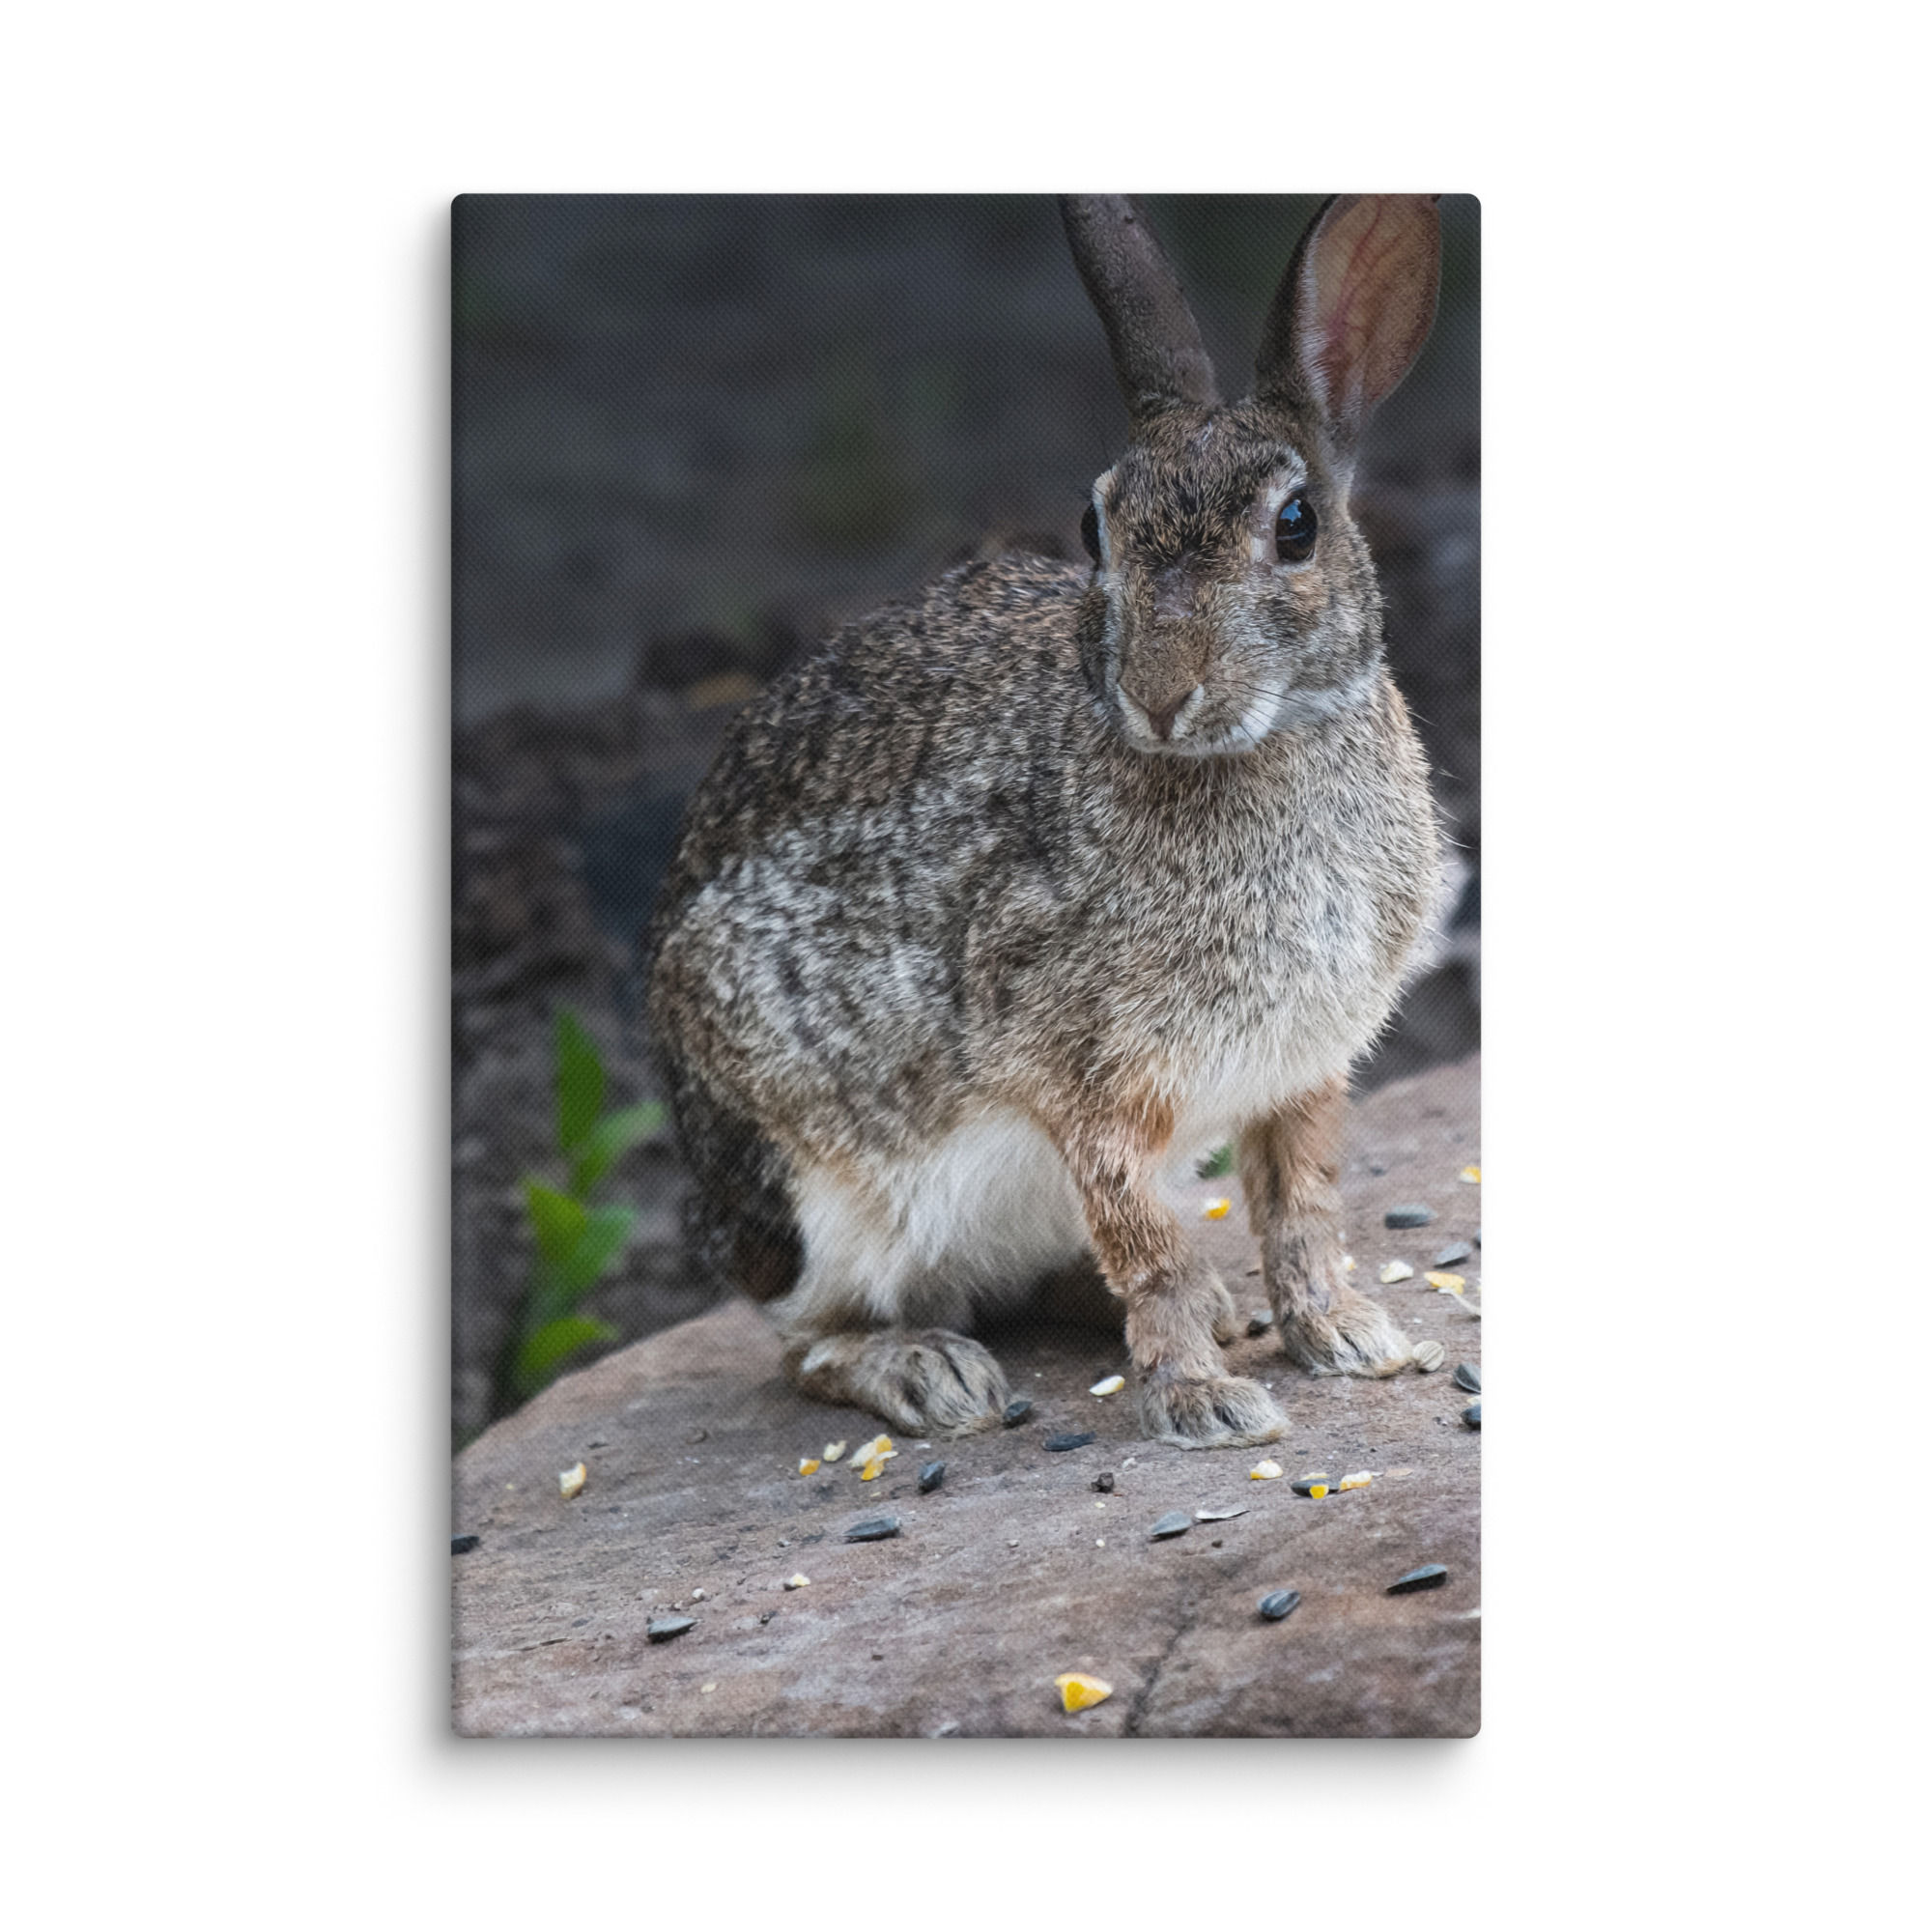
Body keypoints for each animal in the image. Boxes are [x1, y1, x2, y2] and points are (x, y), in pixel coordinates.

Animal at [645, 194, 1447, 1449]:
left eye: (1295, 525)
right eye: (1093, 526)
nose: (1159, 694)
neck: (1242, 751)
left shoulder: (1300, 1077)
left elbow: (1298, 1211)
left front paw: (1347, 1338)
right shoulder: (1090, 1078)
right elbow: (1148, 1245)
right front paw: (1206, 1404)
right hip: (822, 1190)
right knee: (806, 1338)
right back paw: (930, 1374)